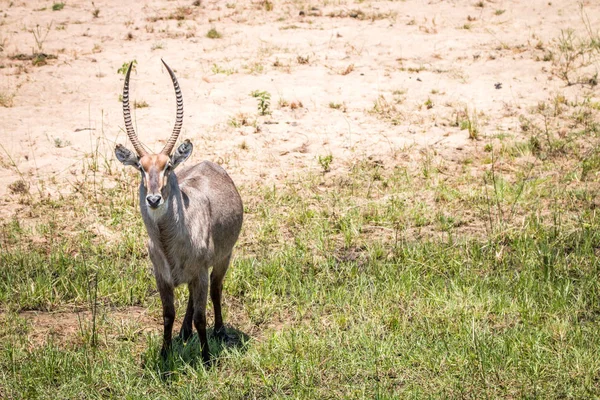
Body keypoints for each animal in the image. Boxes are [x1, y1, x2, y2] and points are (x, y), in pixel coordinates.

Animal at [113, 61, 243, 364]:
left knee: (215, 291)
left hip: (222, 259)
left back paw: (220, 331)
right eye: (141, 167)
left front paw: (206, 358)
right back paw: (184, 333)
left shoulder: (202, 272)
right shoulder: (162, 277)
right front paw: (165, 354)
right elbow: (168, 314)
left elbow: (201, 316)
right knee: (191, 301)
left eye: (168, 166)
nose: (154, 198)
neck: (168, 240)